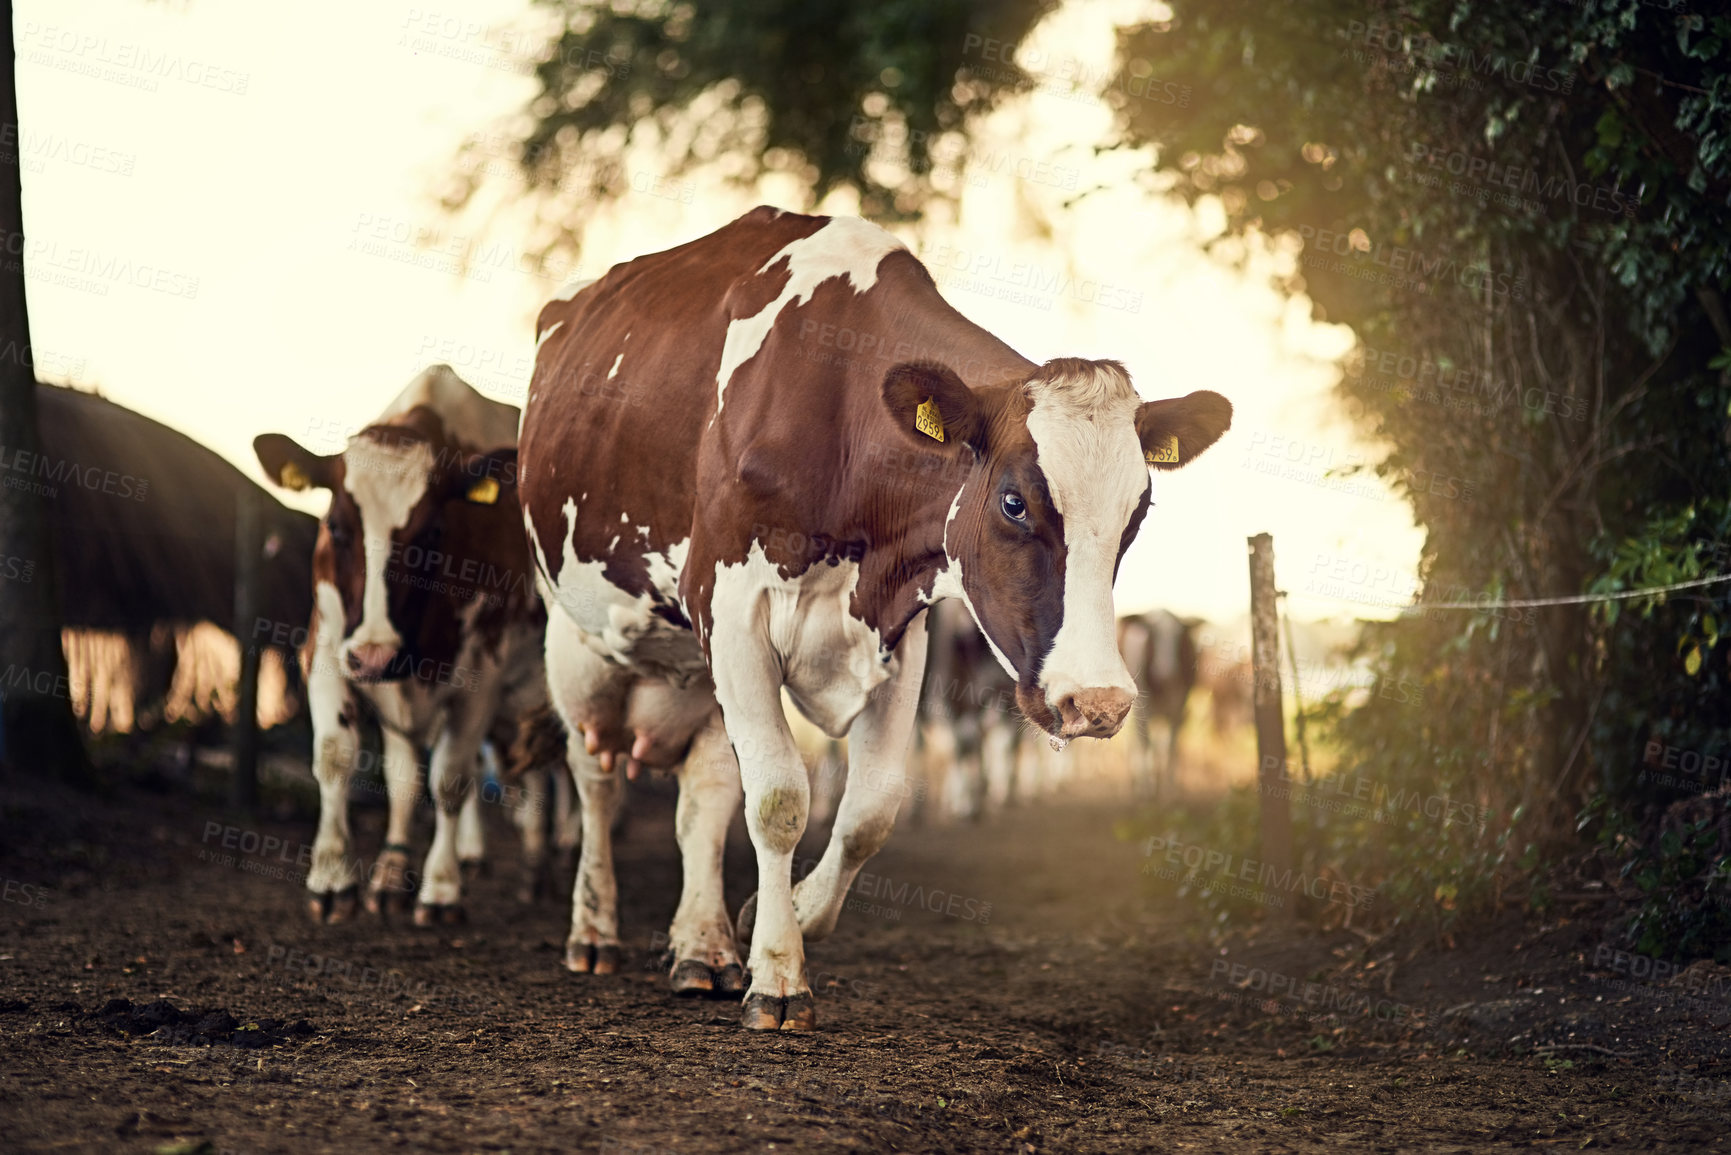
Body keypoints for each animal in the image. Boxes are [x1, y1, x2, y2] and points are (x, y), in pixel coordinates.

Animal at [519, 207, 1239, 1032]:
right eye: (1013, 501)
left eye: (1137, 513)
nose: (1097, 701)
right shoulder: (732, 611)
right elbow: (780, 796)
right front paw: (778, 975)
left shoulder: (902, 627)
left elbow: (870, 807)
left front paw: (780, 916)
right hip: (577, 637)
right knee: (594, 772)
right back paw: (594, 932)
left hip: (696, 670)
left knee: (704, 790)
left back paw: (703, 946)